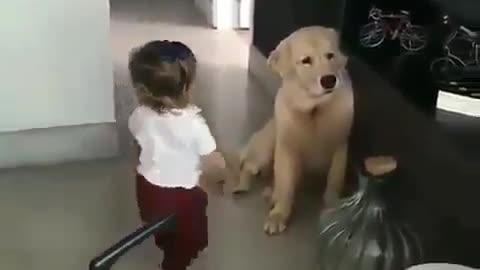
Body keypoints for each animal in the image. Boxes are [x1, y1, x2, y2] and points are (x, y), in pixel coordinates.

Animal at [258, 26, 356, 235]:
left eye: (330, 55)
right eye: (306, 61)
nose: (329, 80)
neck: (314, 110)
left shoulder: (339, 147)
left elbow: (333, 182)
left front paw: (333, 211)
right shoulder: (287, 149)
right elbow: (285, 186)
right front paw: (279, 214)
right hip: (267, 148)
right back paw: (272, 194)